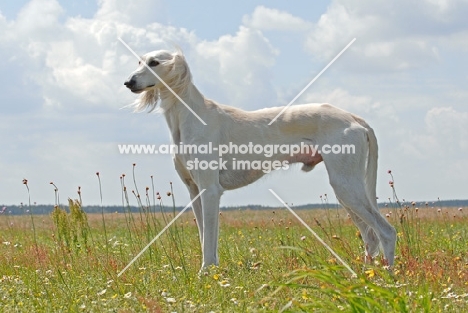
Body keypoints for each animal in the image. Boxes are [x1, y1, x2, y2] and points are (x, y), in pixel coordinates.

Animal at [123, 49, 394, 268]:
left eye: (154, 62)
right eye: (139, 61)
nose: (128, 82)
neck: (189, 116)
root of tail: (354, 119)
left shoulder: (210, 190)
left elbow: (209, 240)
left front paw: (207, 273)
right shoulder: (194, 190)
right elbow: (203, 237)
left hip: (346, 185)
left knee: (387, 232)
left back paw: (390, 279)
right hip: (346, 189)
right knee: (370, 237)